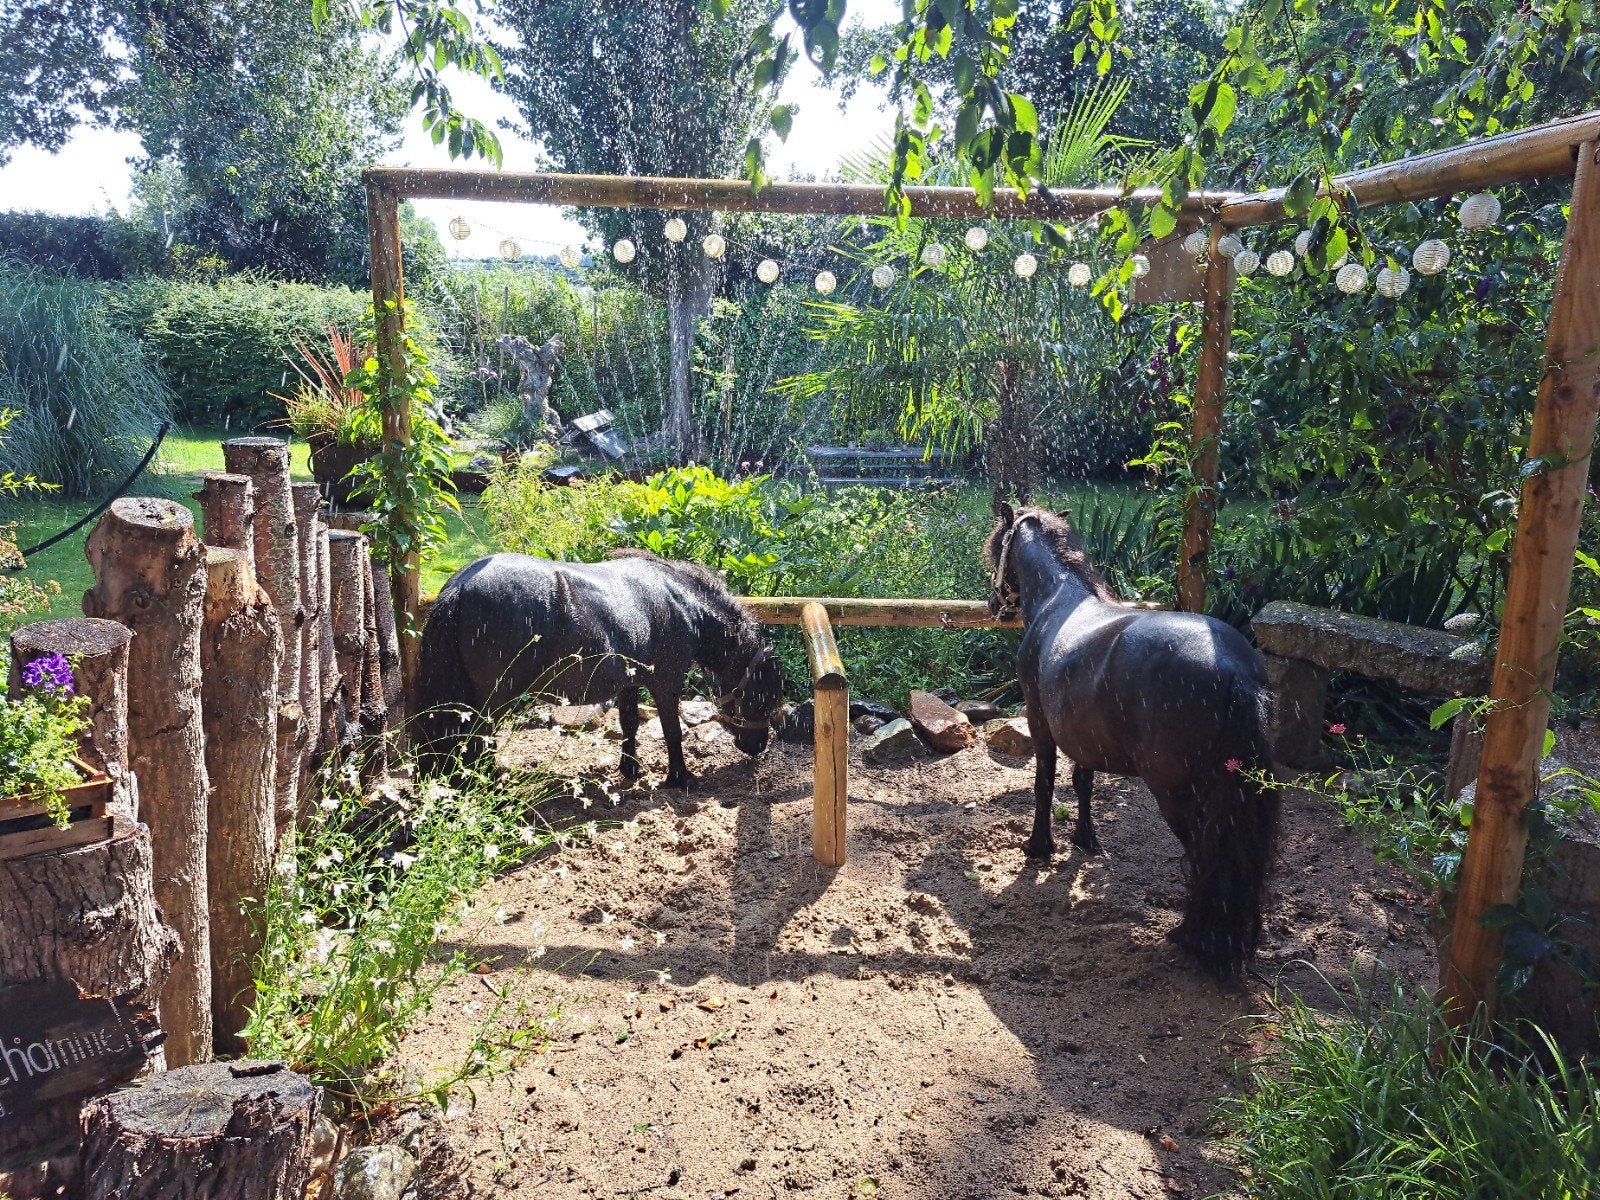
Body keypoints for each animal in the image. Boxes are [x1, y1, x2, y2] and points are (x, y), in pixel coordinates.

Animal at [414, 549, 786, 786]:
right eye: (764, 694)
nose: (758, 746)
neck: (683, 604)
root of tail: (461, 584)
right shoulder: (666, 682)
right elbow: (672, 730)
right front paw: (680, 777)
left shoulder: (629, 683)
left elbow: (630, 724)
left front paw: (630, 768)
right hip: (493, 699)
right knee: (478, 738)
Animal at [984, 504, 1279, 979]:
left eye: (997, 545)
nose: (994, 604)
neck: (1058, 600)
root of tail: (1233, 670)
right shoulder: (1084, 738)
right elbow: (1083, 784)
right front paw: (1085, 839)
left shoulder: (1041, 722)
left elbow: (1044, 784)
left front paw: (1039, 846)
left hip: (1178, 798)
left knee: (1204, 856)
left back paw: (1189, 935)